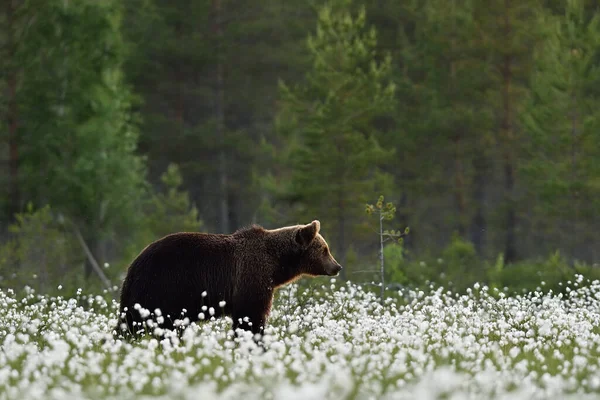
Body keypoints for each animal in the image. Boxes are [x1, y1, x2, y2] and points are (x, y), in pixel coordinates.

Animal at [115, 220, 342, 340]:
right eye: (325, 249)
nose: (337, 266)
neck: (276, 263)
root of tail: (133, 266)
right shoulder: (250, 276)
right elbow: (250, 315)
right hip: (163, 286)